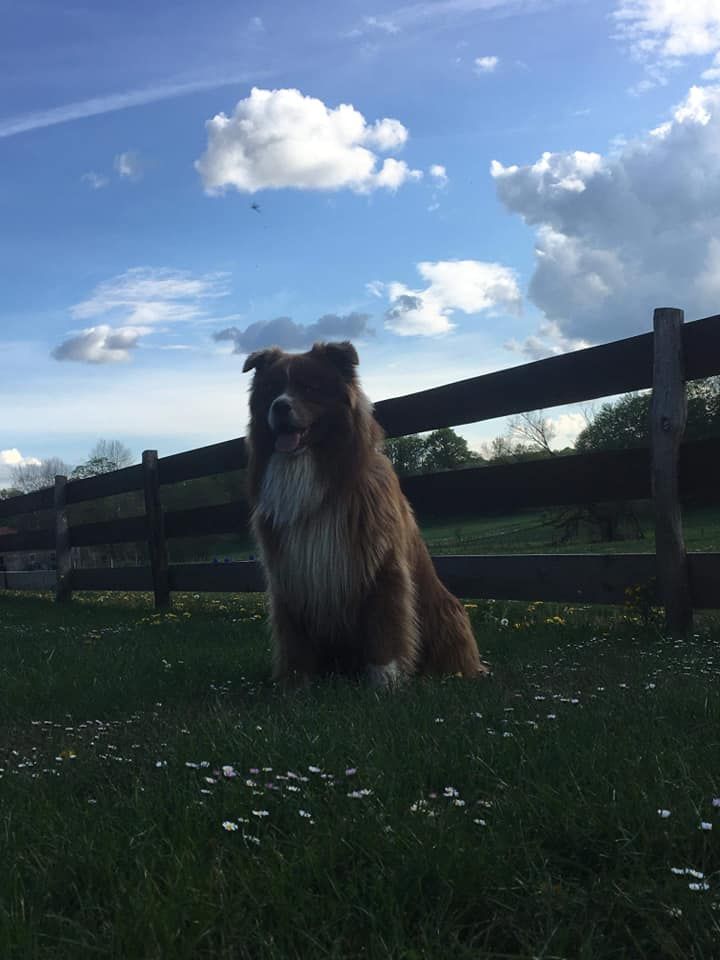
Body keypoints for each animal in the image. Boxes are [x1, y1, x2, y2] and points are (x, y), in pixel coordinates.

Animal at [243, 340, 488, 686]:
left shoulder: (379, 564)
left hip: (446, 612)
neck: (313, 468)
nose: (279, 407)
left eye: (309, 387)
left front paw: (385, 680)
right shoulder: (289, 573)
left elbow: (386, 624)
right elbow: (293, 635)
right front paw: (295, 682)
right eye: (271, 389)